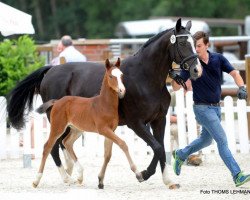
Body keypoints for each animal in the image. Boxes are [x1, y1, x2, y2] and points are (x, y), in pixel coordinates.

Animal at [32, 57, 140, 188]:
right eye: (111, 76)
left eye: (121, 75)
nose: (122, 90)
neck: (104, 104)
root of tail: (57, 101)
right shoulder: (103, 129)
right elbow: (123, 144)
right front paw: (138, 173)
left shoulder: (111, 130)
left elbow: (108, 154)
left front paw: (101, 181)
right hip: (58, 127)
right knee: (48, 146)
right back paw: (36, 180)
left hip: (76, 129)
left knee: (67, 142)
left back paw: (79, 176)